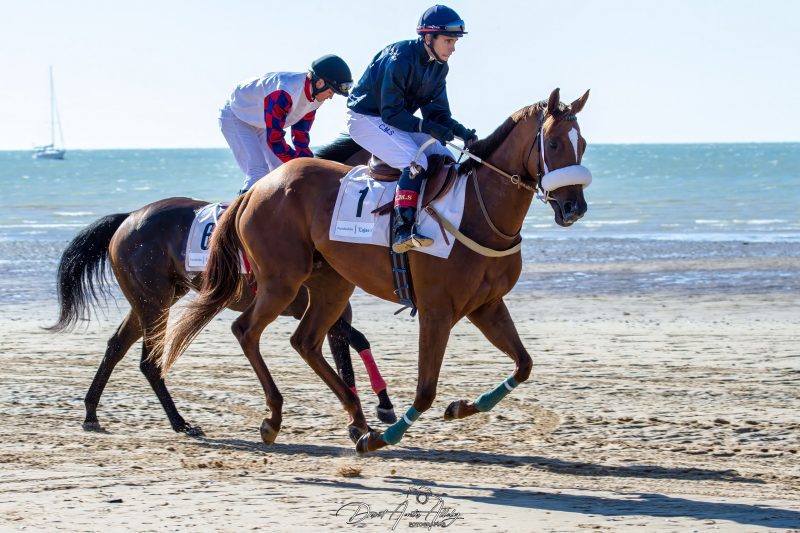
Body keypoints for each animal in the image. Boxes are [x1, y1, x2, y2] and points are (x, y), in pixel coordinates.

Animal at [47, 141, 398, 438]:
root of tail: (128, 217)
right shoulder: (304, 303)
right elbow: (355, 340)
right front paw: (380, 406)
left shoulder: (331, 307)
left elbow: (346, 353)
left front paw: (368, 414)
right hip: (154, 301)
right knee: (149, 360)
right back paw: (180, 422)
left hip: (152, 298)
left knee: (116, 346)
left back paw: (91, 413)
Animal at [160, 88, 590, 452]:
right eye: (553, 143)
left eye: (583, 144)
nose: (575, 208)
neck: (476, 209)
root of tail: (259, 186)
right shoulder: (437, 311)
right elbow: (425, 390)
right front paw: (388, 435)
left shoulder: (487, 306)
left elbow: (524, 364)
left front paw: (461, 407)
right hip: (281, 281)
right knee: (246, 330)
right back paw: (276, 417)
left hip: (331, 284)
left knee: (306, 341)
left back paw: (357, 418)